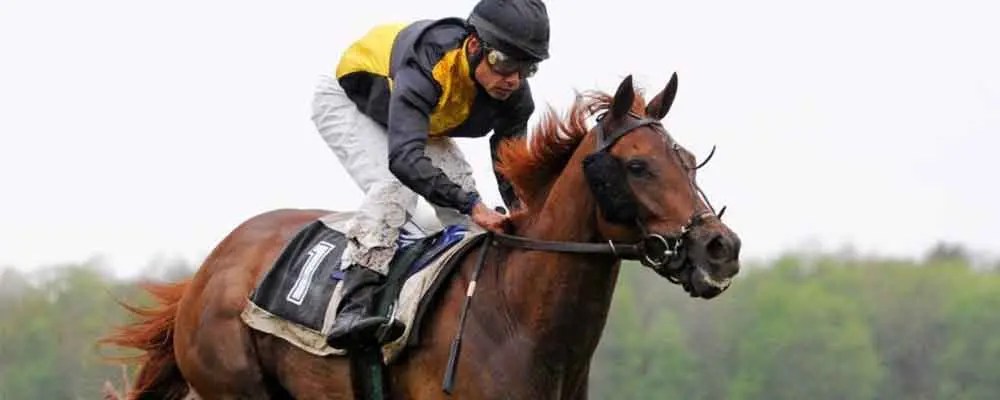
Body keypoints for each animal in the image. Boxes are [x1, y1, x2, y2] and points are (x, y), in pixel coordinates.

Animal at [101, 73, 742, 399]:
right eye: (637, 166)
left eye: (689, 160)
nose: (721, 249)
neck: (516, 316)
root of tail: (210, 268)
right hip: (235, 387)